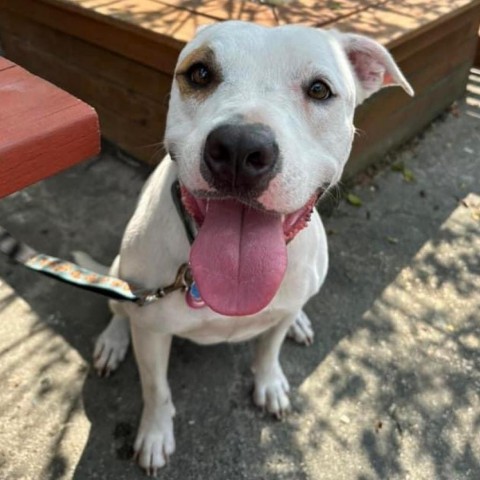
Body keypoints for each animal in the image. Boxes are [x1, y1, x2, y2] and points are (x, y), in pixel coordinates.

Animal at [86, 20, 412, 474]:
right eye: (200, 73)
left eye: (319, 89)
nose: (239, 148)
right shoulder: (151, 333)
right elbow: (156, 388)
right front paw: (154, 433)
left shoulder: (279, 312)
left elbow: (269, 349)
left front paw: (269, 383)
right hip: (123, 278)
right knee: (117, 306)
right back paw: (113, 341)